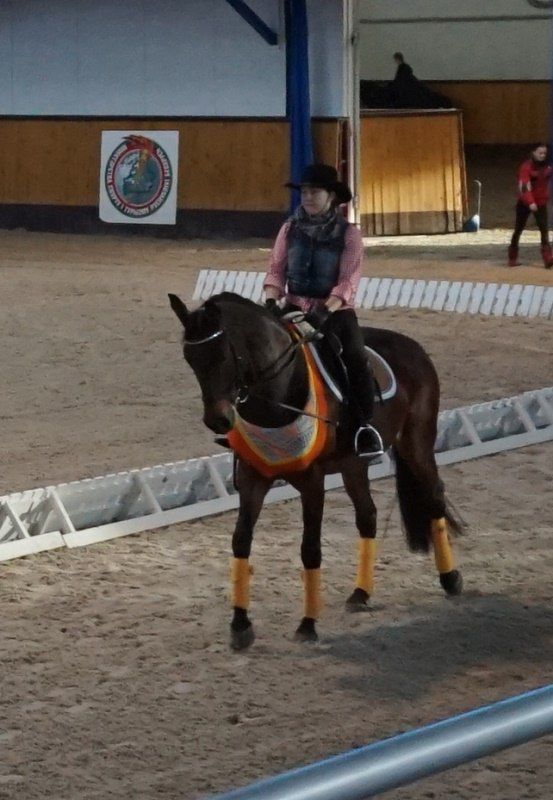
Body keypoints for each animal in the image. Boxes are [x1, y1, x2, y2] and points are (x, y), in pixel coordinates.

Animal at [169, 291, 463, 650]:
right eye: (190, 358)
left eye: (224, 353)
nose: (218, 420)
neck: (278, 393)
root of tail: (414, 347)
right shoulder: (254, 477)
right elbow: (241, 542)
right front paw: (240, 626)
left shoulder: (312, 482)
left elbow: (310, 549)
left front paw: (307, 625)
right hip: (353, 463)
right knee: (367, 515)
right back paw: (360, 593)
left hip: (415, 443)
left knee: (434, 497)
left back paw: (451, 579)